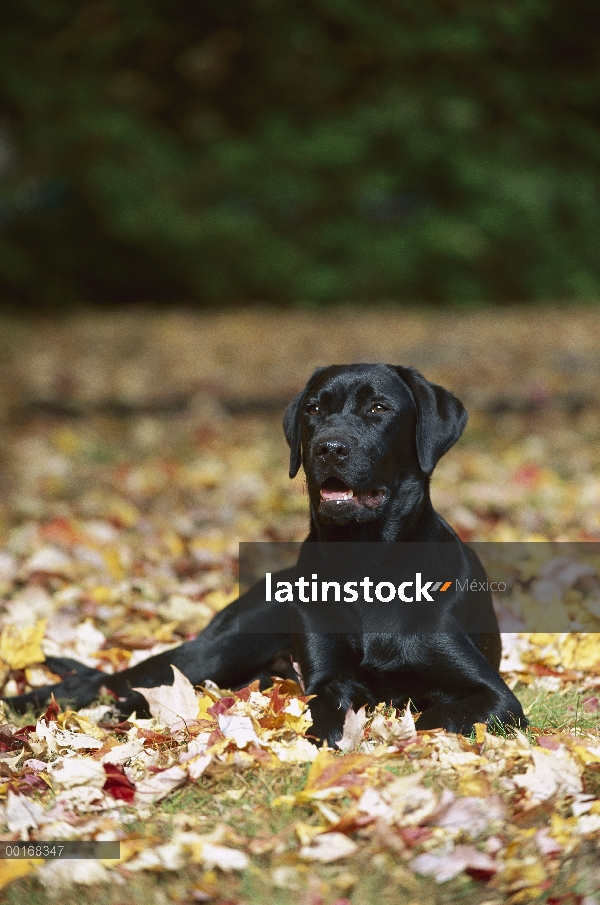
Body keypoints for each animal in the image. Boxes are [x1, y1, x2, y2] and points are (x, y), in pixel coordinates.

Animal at [5, 364, 524, 744]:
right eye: (314, 409)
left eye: (379, 407)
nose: (328, 447)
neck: (365, 562)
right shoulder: (327, 679)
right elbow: (325, 711)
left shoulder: (495, 696)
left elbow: (436, 715)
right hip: (219, 649)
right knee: (110, 681)